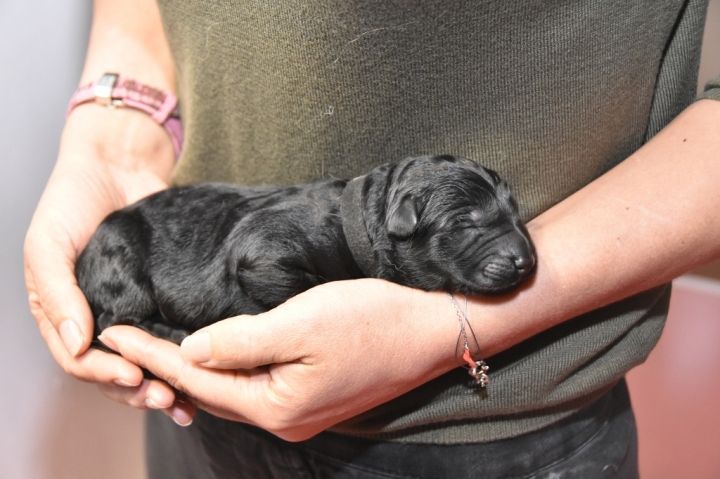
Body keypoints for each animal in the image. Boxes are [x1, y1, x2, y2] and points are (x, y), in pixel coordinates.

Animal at [76, 155, 536, 344]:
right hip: (122, 268)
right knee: (115, 321)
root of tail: (82, 261)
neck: (360, 219)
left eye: (515, 211)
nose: (526, 261)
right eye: (464, 223)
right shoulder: (262, 252)